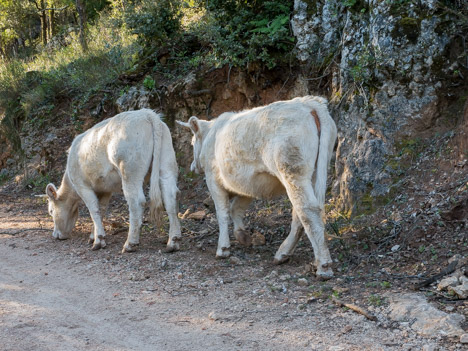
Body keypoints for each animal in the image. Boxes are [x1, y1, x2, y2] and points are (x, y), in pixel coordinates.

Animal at [45, 109, 181, 253]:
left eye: (51, 211)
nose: (55, 234)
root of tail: (147, 114)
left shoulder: (81, 185)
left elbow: (94, 210)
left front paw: (98, 240)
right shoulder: (105, 189)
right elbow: (101, 209)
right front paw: (93, 236)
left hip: (130, 171)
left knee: (137, 202)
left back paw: (130, 243)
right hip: (167, 163)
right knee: (171, 197)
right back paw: (173, 241)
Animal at [178, 97, 336, 280]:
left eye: (192, 142)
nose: (192, 166)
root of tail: (309, 103)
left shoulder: (213, 179)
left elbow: (222, 212)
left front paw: (223, 248)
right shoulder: (248, 184)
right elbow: (236, 207)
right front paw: (242, 235)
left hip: (293, 171)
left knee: (307, 210)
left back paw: (323, 265)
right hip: (313, 173)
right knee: (300, 213)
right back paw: (284, 253)